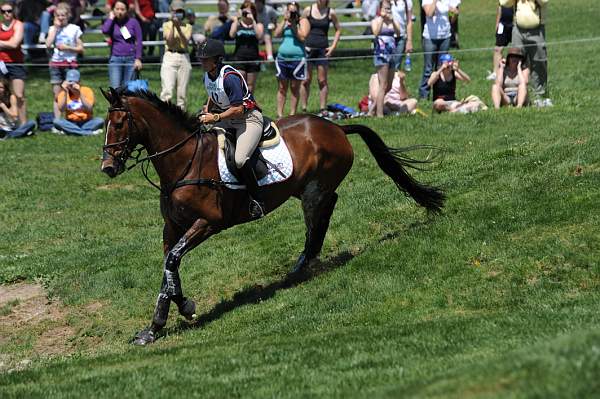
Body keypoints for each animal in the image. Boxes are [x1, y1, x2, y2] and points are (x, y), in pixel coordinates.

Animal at [99, 89, 446, 346]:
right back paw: (305, 261)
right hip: (302, 188)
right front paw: (155, 327)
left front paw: (182, 310)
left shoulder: (208, 223)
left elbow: (171, 262)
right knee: (324, 212)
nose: (108, 167)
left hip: (315, 187)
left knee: (319, 215)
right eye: (106, 124)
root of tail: (335, 127)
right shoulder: (172, 228)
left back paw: (305, 263)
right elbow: (168, 269)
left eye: (119, 123)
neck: (184, 162)